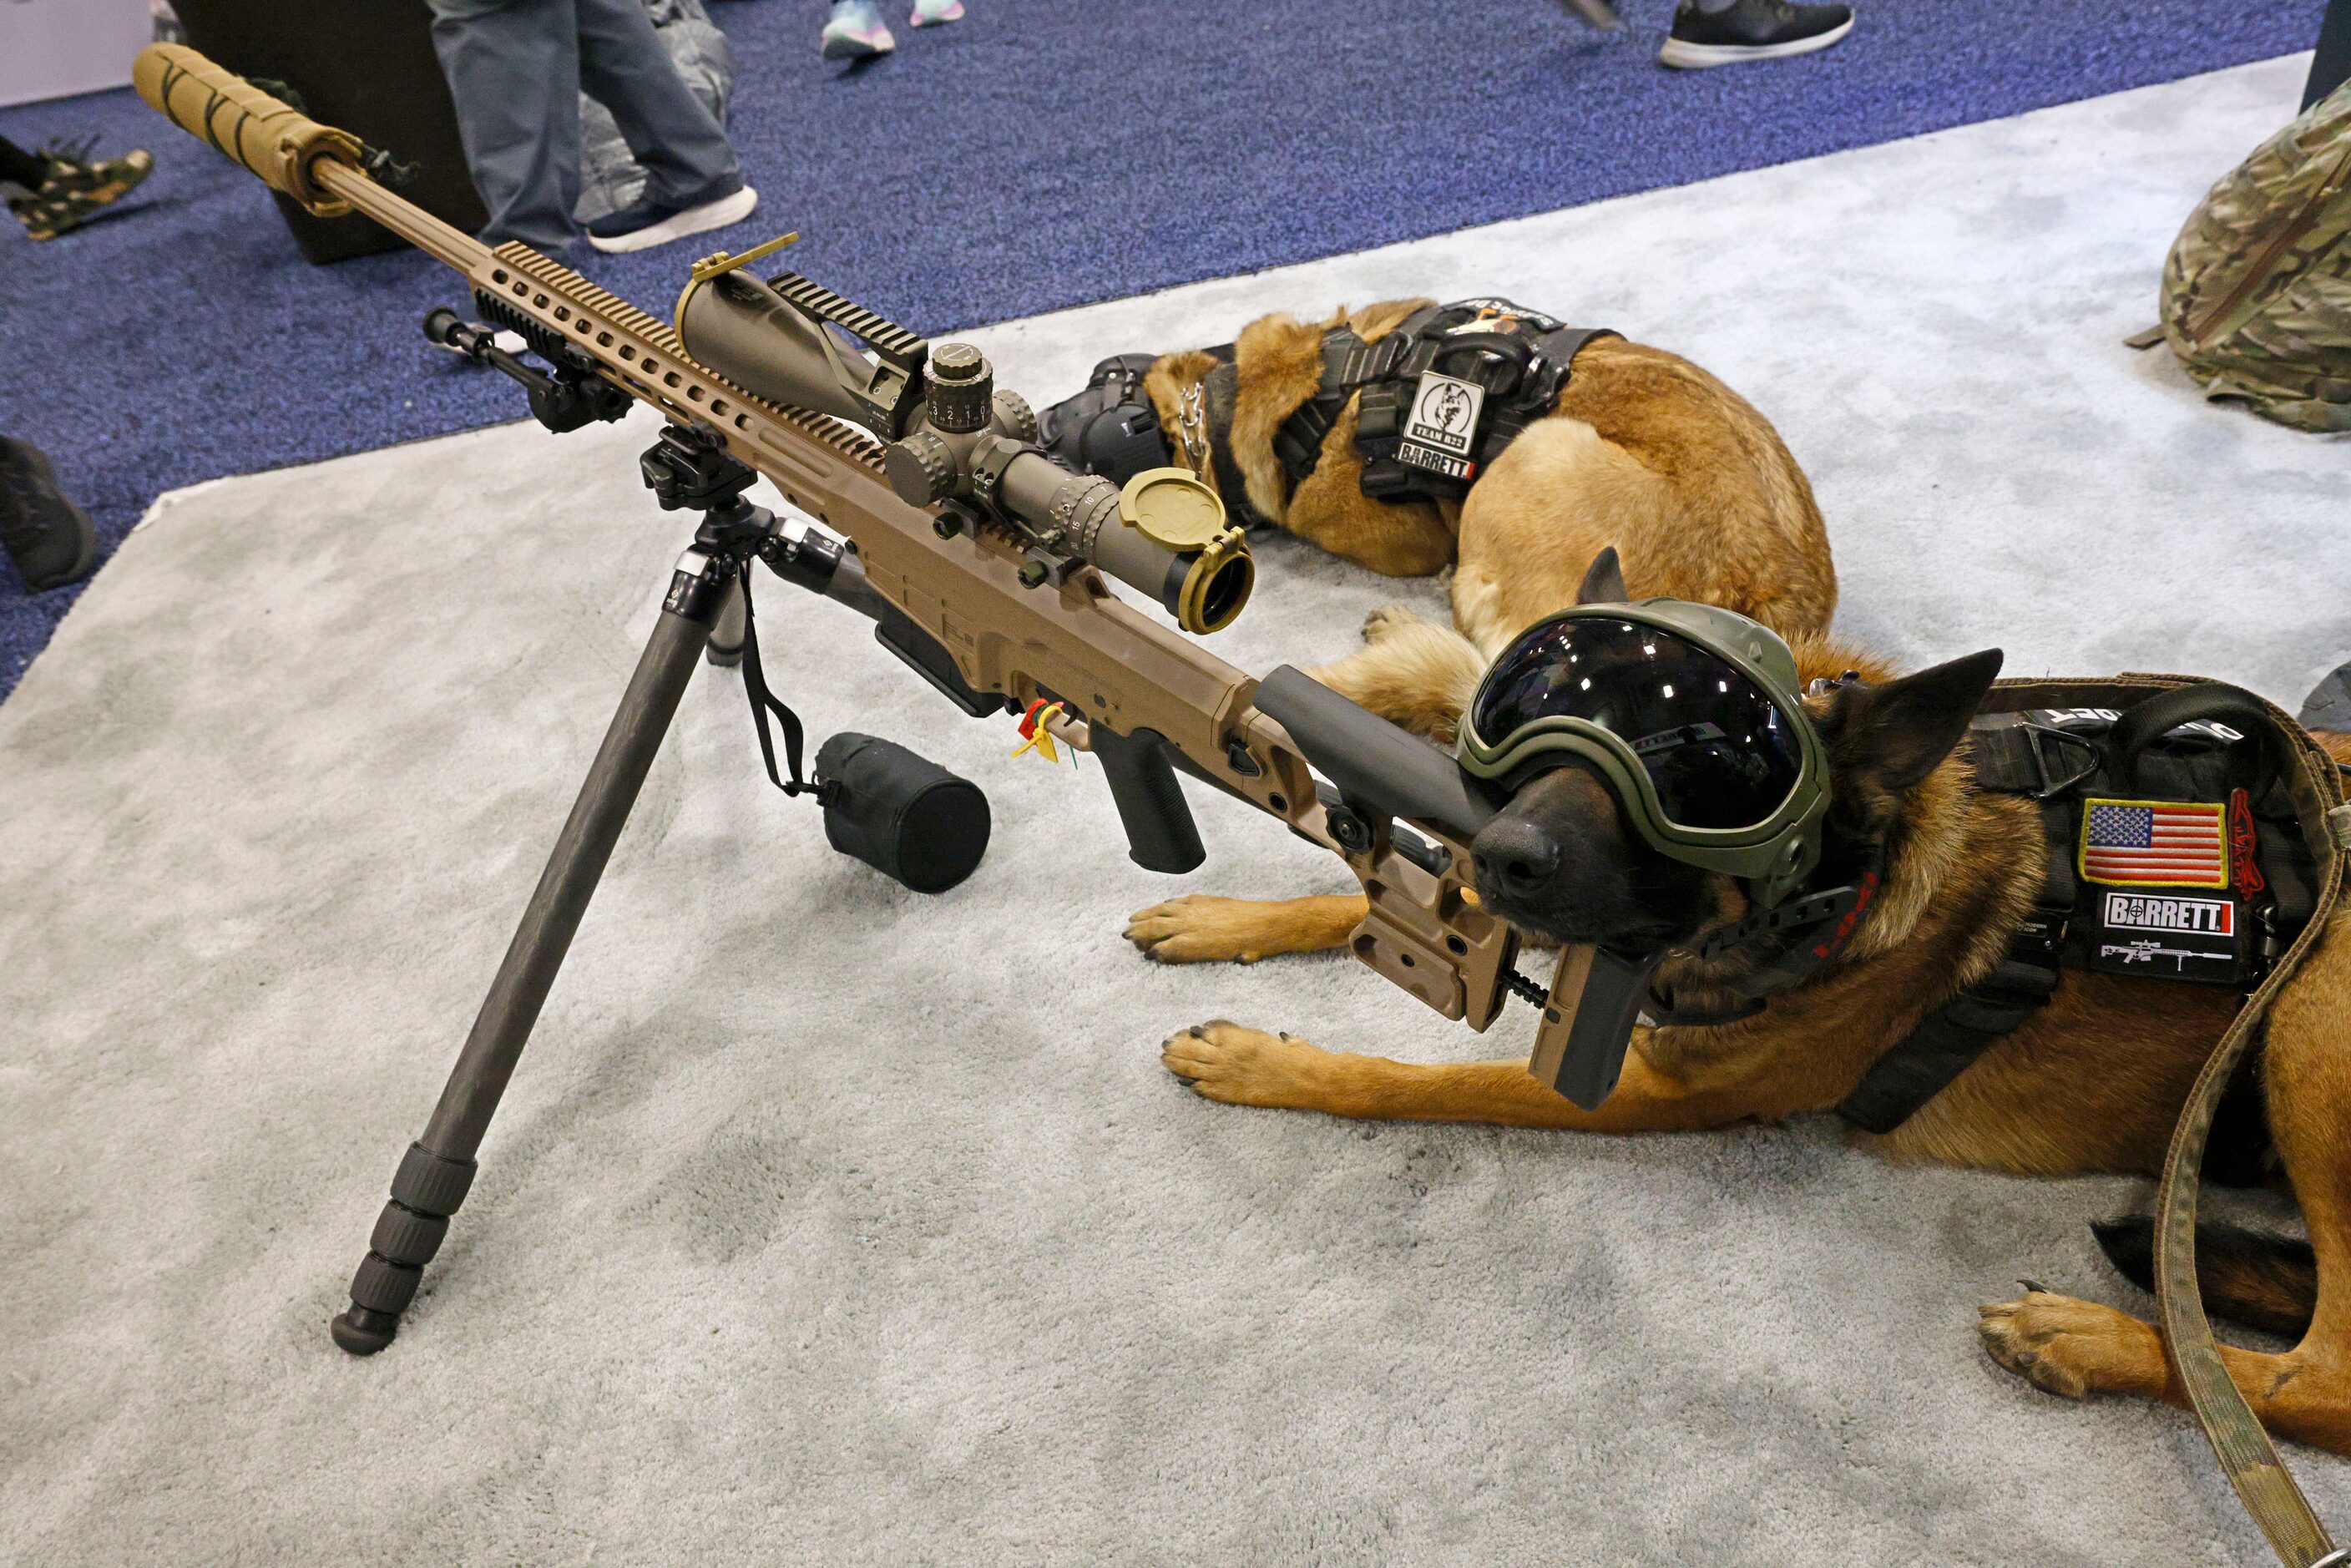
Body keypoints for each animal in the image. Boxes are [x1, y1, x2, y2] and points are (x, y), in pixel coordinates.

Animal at [1133, 552, 2351, 1457]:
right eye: (1549, 714)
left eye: (1702, 775)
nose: (1501, 848)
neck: (1842, 882)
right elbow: (1352, 898)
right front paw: (1222, 918)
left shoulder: (1649, 1087)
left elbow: (1418, 1083)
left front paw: (1265, 1063)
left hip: (2306, 1020)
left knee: (2319, 1381)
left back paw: (2088, 1338)